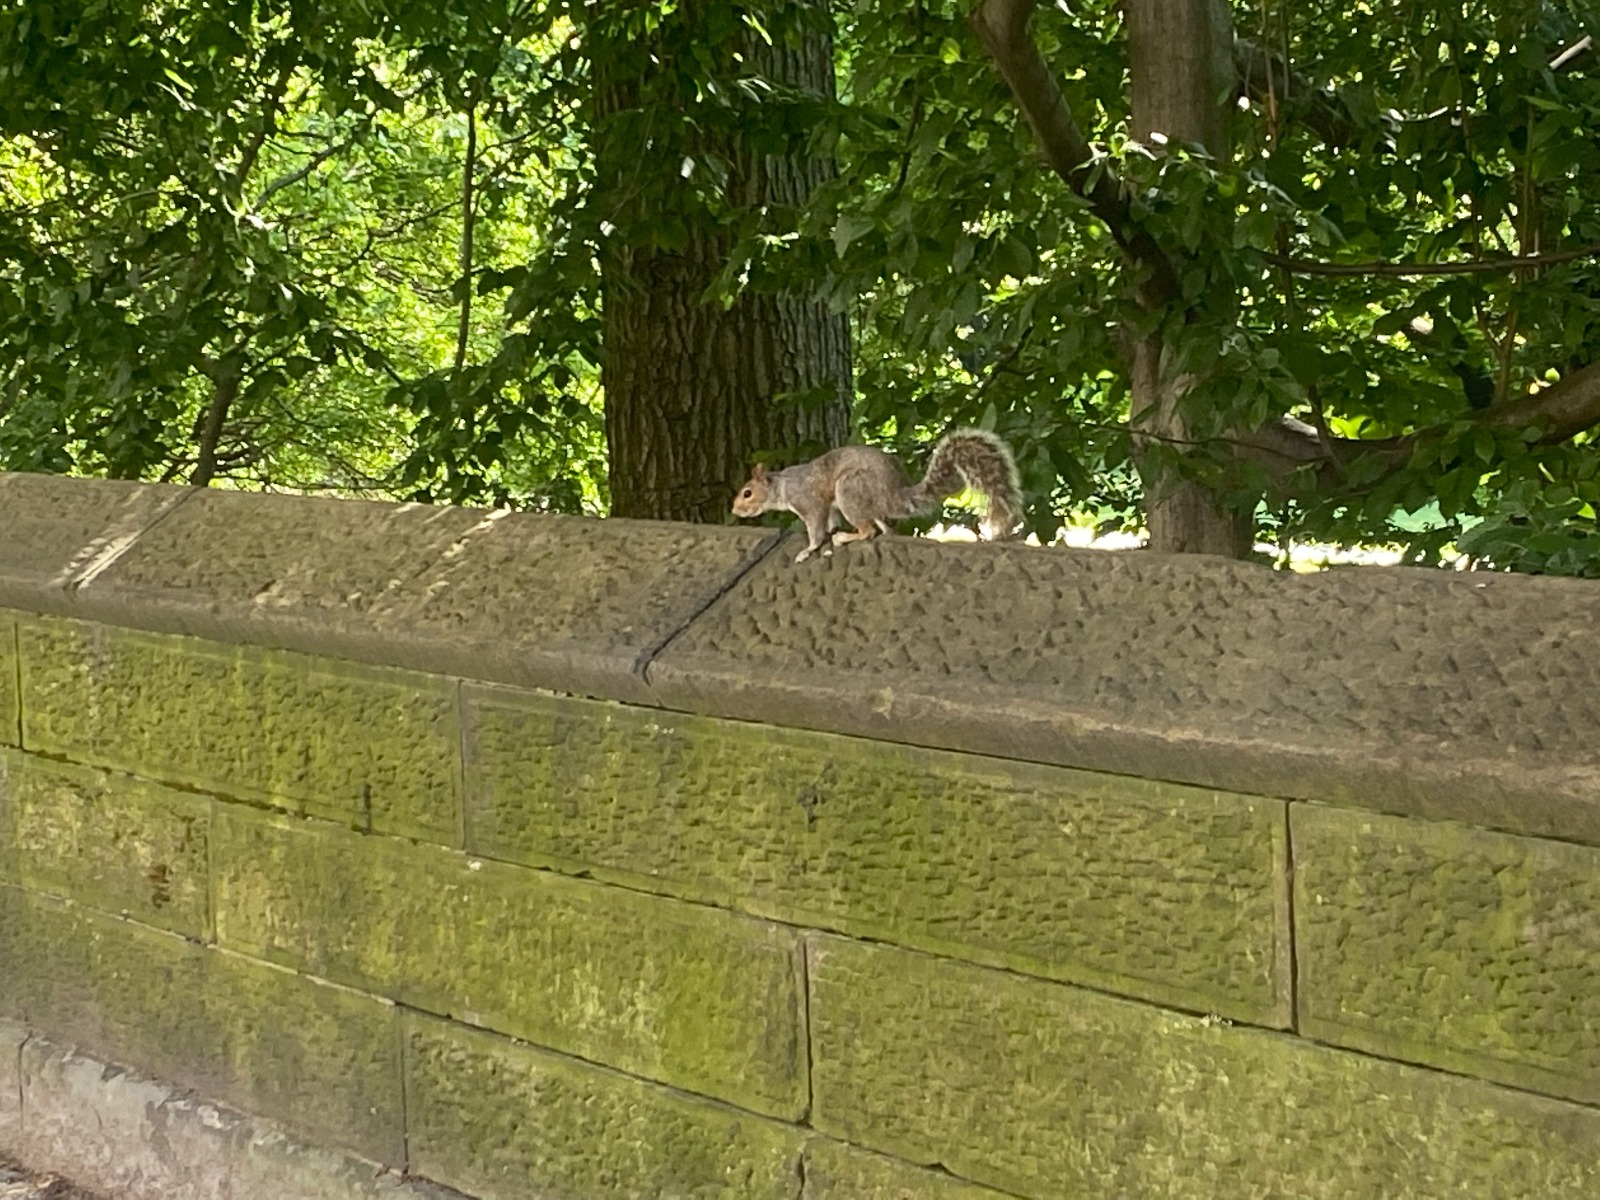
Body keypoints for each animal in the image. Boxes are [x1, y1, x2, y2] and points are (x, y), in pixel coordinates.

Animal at [732, 428, 1017, 566]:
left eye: (747, 493)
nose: (735, 510)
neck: (782, 486)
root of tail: (893, 493)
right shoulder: (830, 506)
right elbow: (829, 521)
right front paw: (828, 535)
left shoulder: (809, 501)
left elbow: (815, 527)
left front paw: (809, 549)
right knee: (882, 528)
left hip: (850, 489)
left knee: (867, 531)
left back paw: (845, 537)